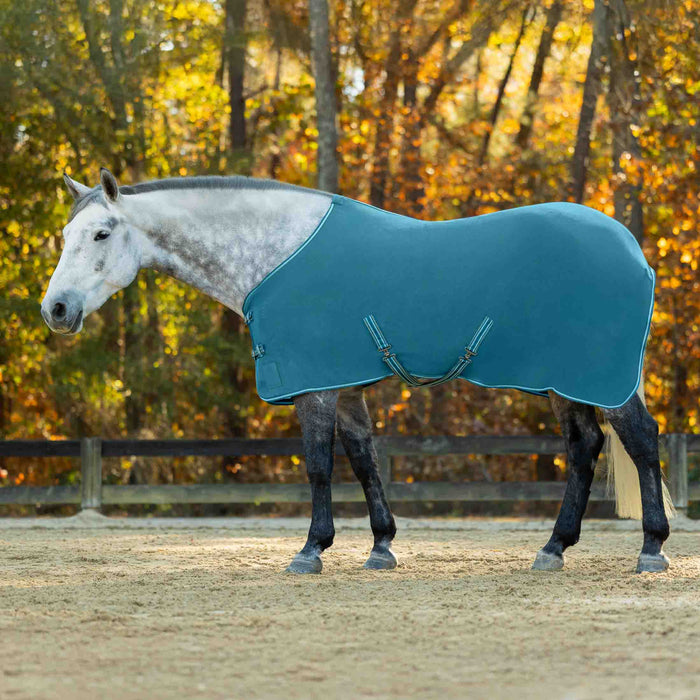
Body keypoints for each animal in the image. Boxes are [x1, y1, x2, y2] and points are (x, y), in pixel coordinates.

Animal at [41, 168, 674, 574]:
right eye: (66, 235)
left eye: (101, 233)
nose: (56, 310)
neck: (276, 254)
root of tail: (635, 252)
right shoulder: (344, 388)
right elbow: (365, 460)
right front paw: (381, 547)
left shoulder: (314, 387)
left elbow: (320, 466)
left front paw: (310, 551)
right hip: (564, 381)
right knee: (586, 446)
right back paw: (553, 548)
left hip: (597, 379)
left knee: (641, 441)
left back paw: (651, 549)